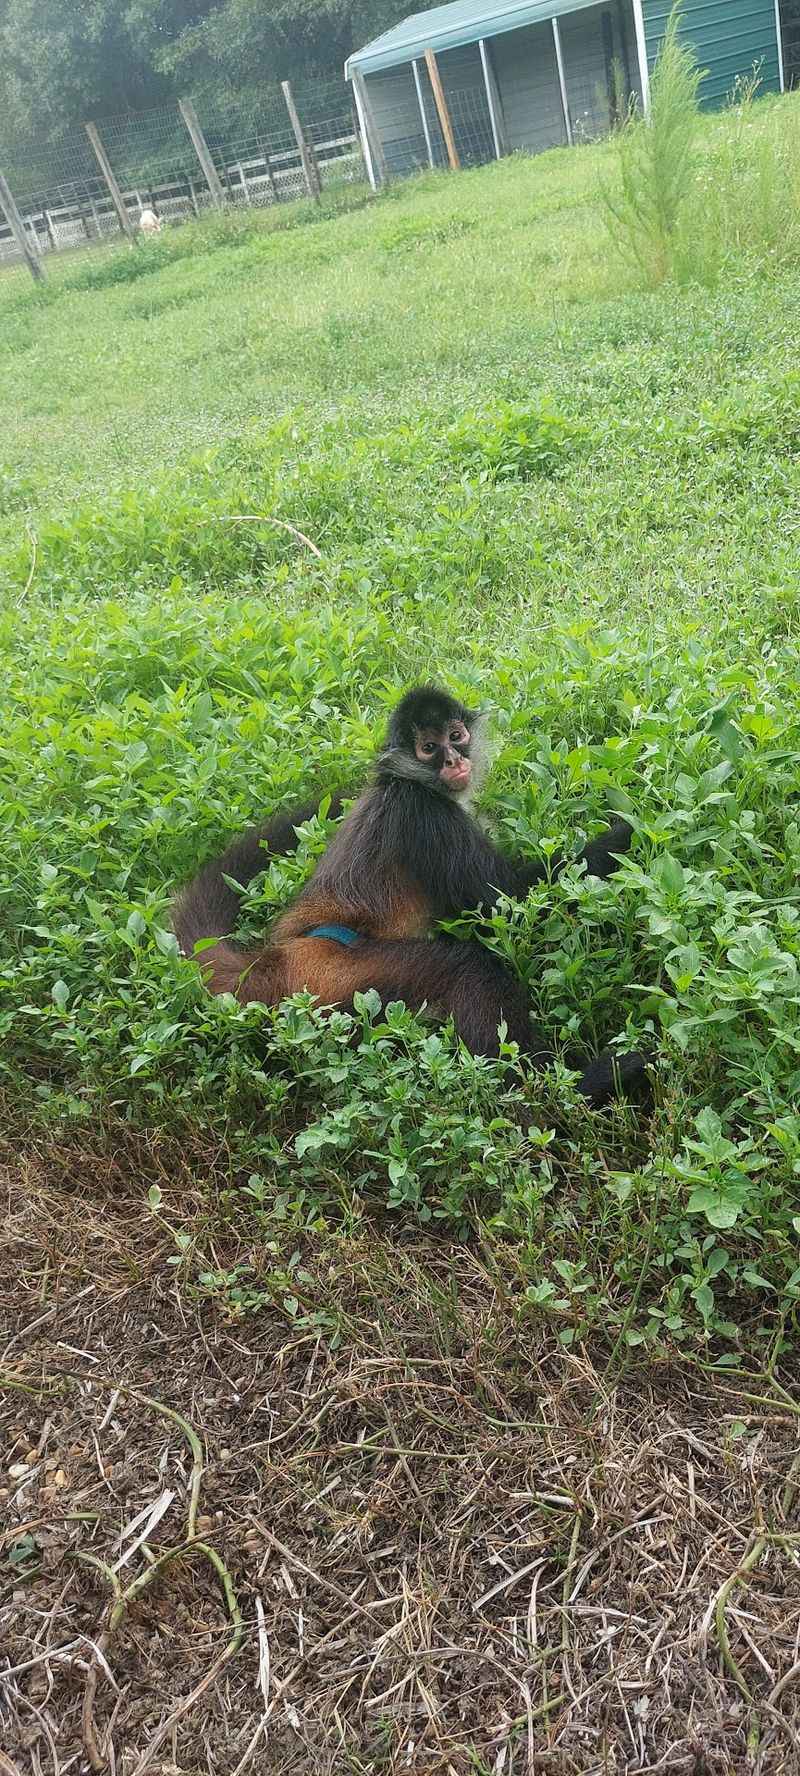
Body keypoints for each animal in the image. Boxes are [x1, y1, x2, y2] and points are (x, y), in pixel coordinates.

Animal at [173, 685, 645, 1104]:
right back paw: (563, 1092)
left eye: (456, 736)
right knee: (468, 967)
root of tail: (278, 958)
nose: (453, 759)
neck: (409, 783)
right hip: (339, 978)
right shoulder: (426, 814)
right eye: (428, 748)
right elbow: (507, 905)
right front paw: (632, 831)